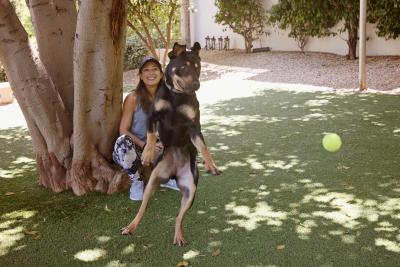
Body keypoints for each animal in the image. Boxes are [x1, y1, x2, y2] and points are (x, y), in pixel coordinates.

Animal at [122, 42, 222, 247]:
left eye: (198, 66)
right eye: (183, 66)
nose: (197, 85)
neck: (176, 95)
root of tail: (174, 174)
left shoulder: (194, 126)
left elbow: (203, 146)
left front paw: (211, 165)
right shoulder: (153, 116)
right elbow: (151, 135)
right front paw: (147, 153)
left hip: (190, 190)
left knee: (178, 216)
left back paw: (178, 236)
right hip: (152, 182)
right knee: (143, 208)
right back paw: (131, 226)